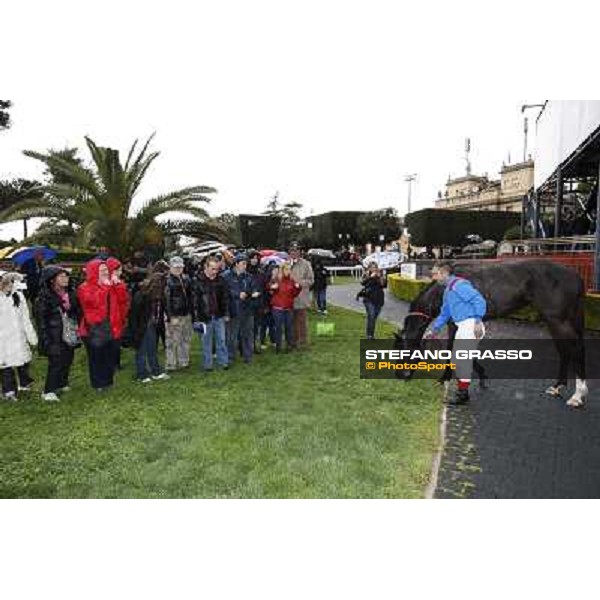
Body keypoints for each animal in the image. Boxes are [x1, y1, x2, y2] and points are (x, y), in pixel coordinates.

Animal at [396, 258, 588, 408]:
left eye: (403, 350)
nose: (400, 376)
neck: (445, 288)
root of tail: (576, 276)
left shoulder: (454, 325)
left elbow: (451, 350)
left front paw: (444, 379)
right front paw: (481, 375)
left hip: (558, 320)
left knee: (576, 348)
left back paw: (577, 396)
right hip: (557, 321)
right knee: (564, 351)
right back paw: (557, 387)